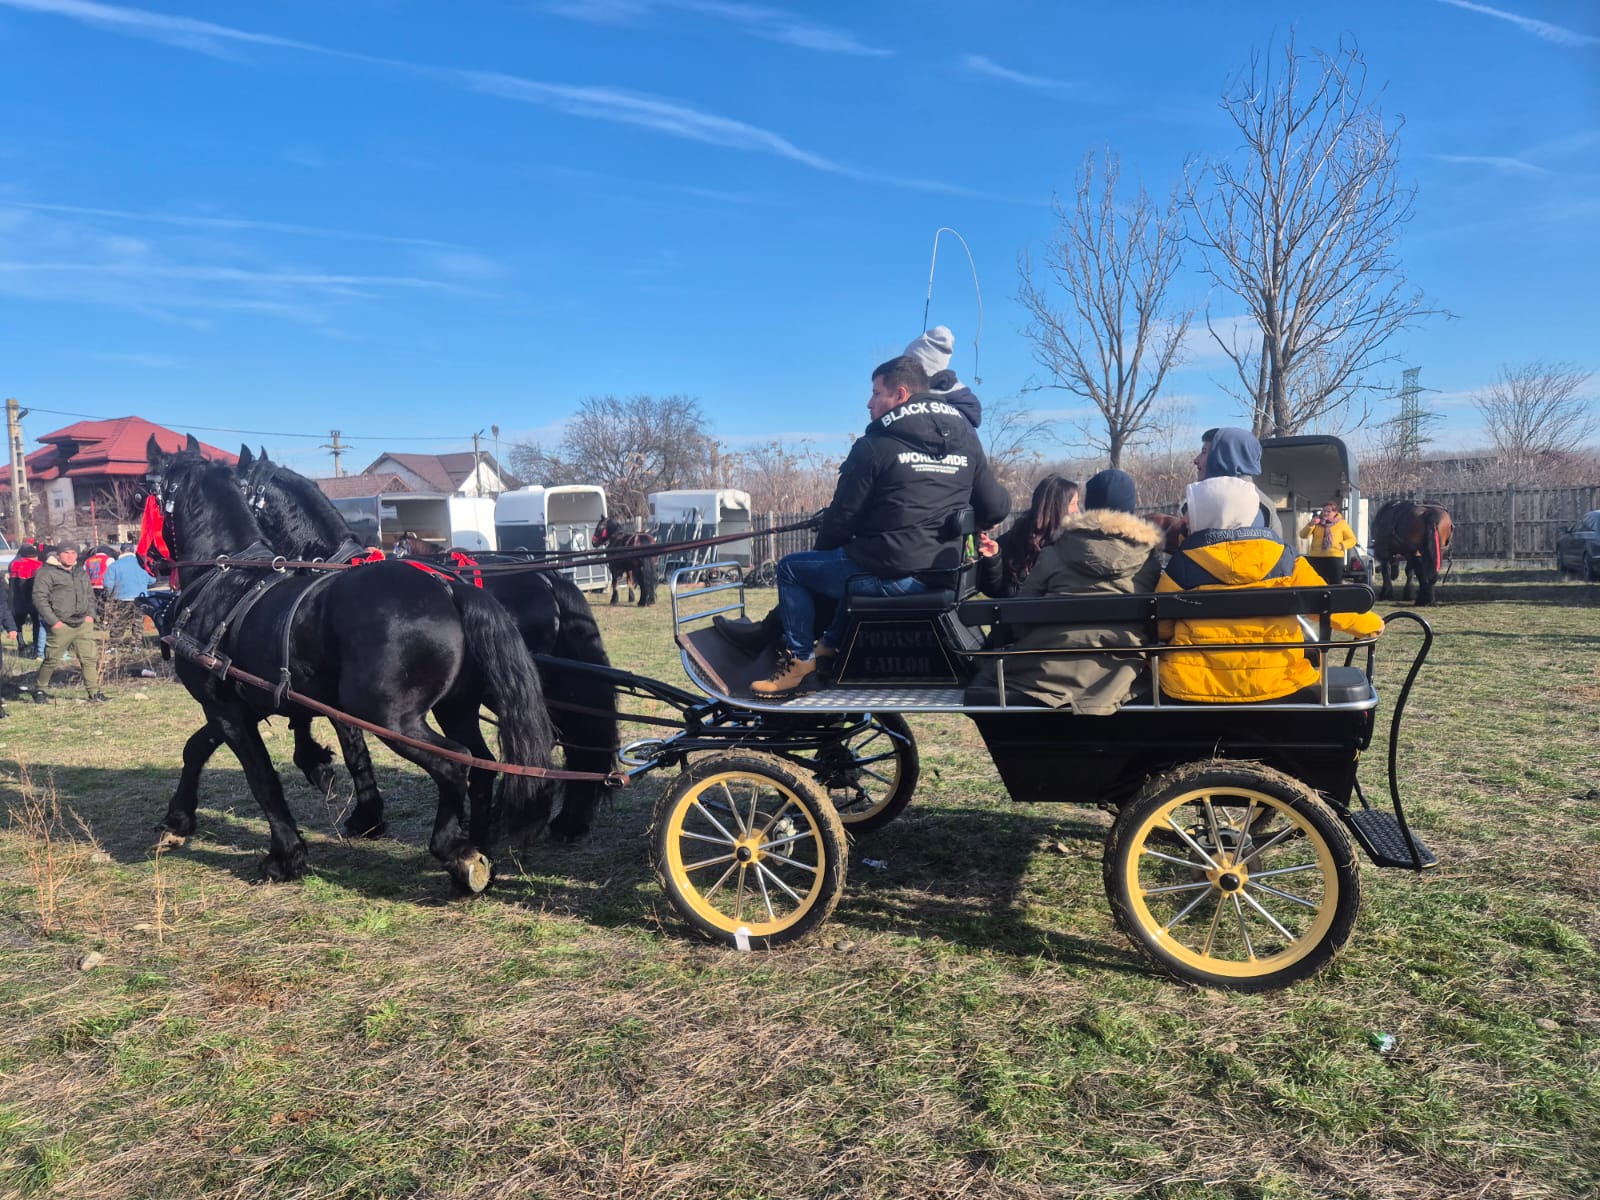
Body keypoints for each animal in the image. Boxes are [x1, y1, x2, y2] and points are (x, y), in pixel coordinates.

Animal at [146, 437, 555, 893]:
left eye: (146, 489)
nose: (148, 558)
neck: (224, 580)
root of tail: (450, 589)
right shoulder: (245, 704)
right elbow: (197, 747)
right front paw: (177, 821)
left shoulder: (228, 709)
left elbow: (265, 777)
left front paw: (287, 854)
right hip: (456, 707)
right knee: (481, 765)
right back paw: (481, 845)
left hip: (389, 716)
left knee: (454, 764)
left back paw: (457, 852)